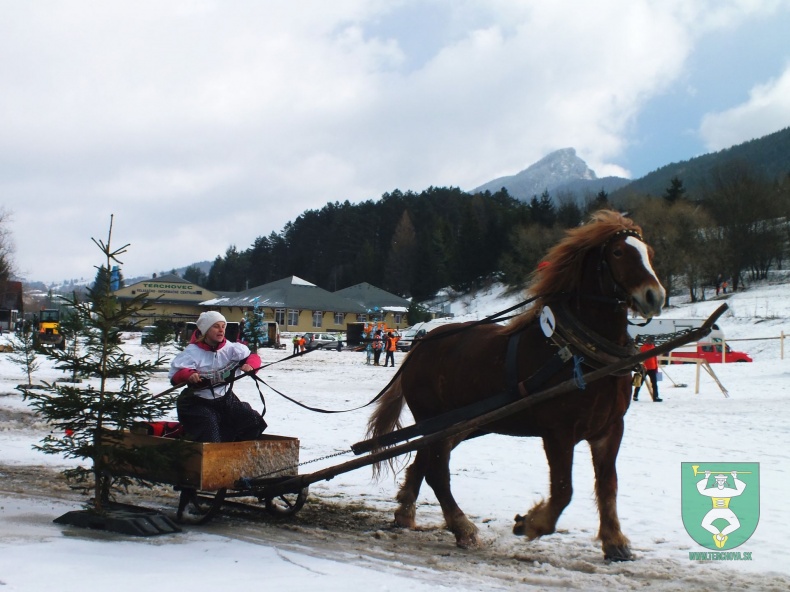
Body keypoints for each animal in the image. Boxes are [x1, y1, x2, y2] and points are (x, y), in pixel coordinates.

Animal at [368, 210, 664, 560]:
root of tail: (419, 346)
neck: (578, 352)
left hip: (455, 425)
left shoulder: (610, 429)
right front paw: (531, 524)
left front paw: (615, 541)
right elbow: (563, 491)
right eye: (618, 252)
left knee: (423, 462)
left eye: (648, 252)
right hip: (435, 421)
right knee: (437, 473)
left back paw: (406, 512)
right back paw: (462, 527)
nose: (654, 296)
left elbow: (608, 486)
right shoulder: (558, 432)